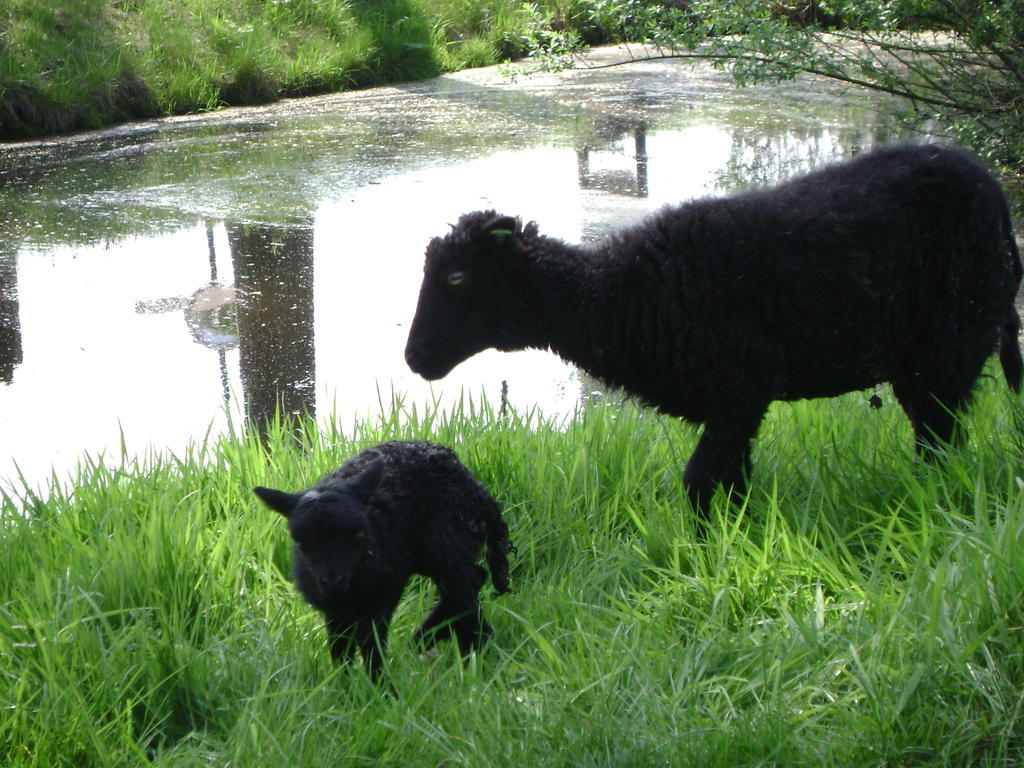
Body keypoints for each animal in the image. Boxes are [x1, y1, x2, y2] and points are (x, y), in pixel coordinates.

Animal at [252, 442, 516, 684]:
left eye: (358, 533)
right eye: (300, 540)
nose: (333, 580)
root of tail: (474, 484)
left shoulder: (387, 585)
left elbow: (369, 636)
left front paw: (380, 686)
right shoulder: (332, 605)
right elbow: (339, 643)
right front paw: (343, 684)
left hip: (446, 536)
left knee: (462, 587)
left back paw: (469, 654)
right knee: (468, 582)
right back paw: (431, 639)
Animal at [403, 143, 1019, 520]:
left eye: (457, 277)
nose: (414, 358)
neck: (617, 297)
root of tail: (993, 190)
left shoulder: (741, 392)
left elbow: (699, 483)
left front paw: (707, 555)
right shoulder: (731, 408)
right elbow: (734, 485)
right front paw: (738, 542)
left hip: (953, 344)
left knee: (941, 442)